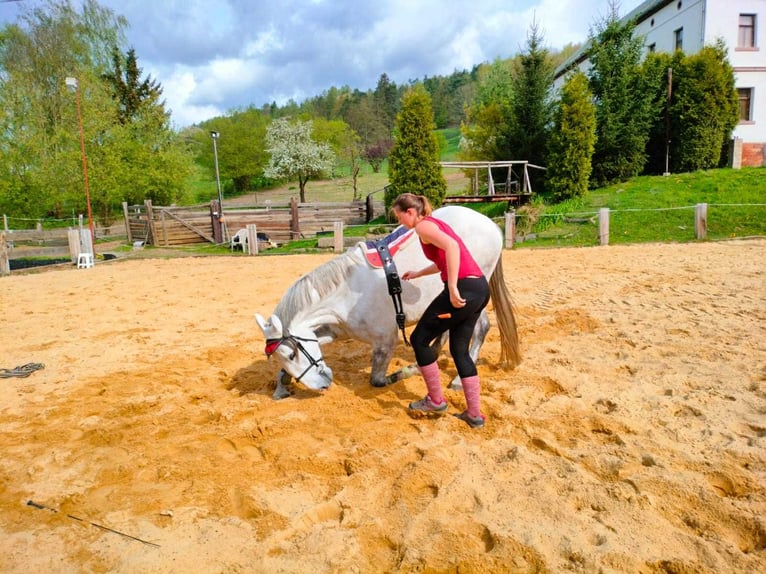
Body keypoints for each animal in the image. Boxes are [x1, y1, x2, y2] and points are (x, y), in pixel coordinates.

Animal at [255, 205, 521, 400]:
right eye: (282, 357)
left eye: (292, 354)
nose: (322, 383)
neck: (345, 293)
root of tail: (490, 224)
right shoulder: (333, 331)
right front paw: (281, 387)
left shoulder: (385, 340)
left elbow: (378, 380)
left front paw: (409, 371)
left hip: (467, 299)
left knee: (481, 328)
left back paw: (456, 379)